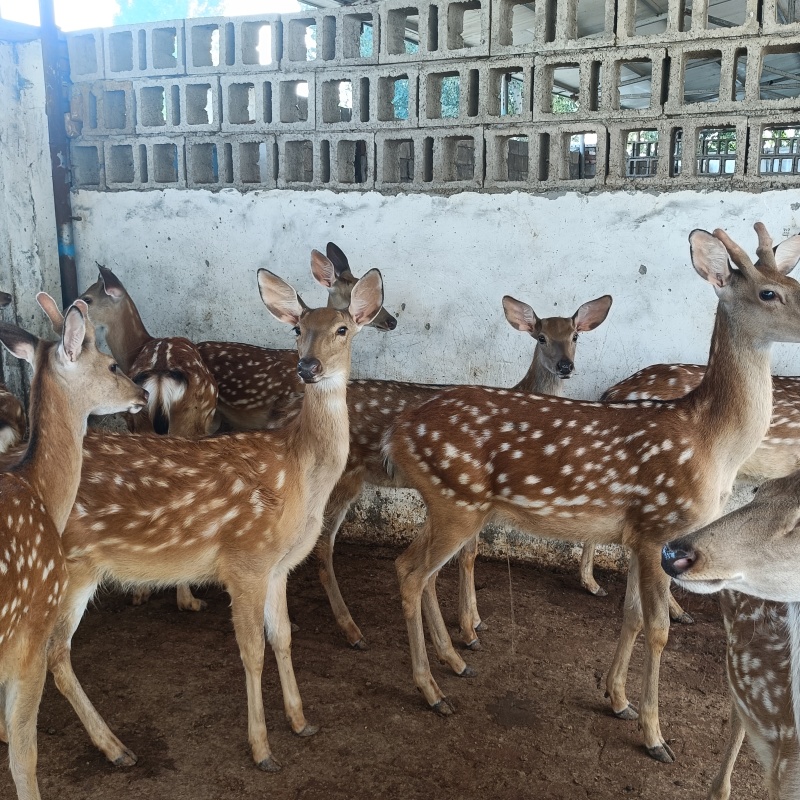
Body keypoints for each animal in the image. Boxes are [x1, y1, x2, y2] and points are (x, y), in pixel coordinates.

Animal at [78, 266, 219, 612]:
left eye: (88, 297)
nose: (68, 313)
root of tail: (160, 374)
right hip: (186, 424)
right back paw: (188, 600)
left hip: (141, 422)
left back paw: (142, 591)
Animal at [316, 293, 613, 650]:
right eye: (541, 337)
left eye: (575, 336)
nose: (565, 366)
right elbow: (468, 554)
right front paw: (469, 630)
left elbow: (469, 553)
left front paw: (474, 622)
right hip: (344, 476)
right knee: (321, 543)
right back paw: (352, 632)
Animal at [382, 223, 800, 763]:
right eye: (769, 292)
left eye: (794, 281)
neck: (713, 445)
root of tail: (398, 431)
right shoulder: (658, 525)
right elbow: (658, 629)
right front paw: (654, 736)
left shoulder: (640, 536)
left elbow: (631, 617)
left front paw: (617, 699)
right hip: (458, 501)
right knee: (414, 573)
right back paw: (432, 691)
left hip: (445, 500)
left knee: (412, 566)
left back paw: (454, 662)